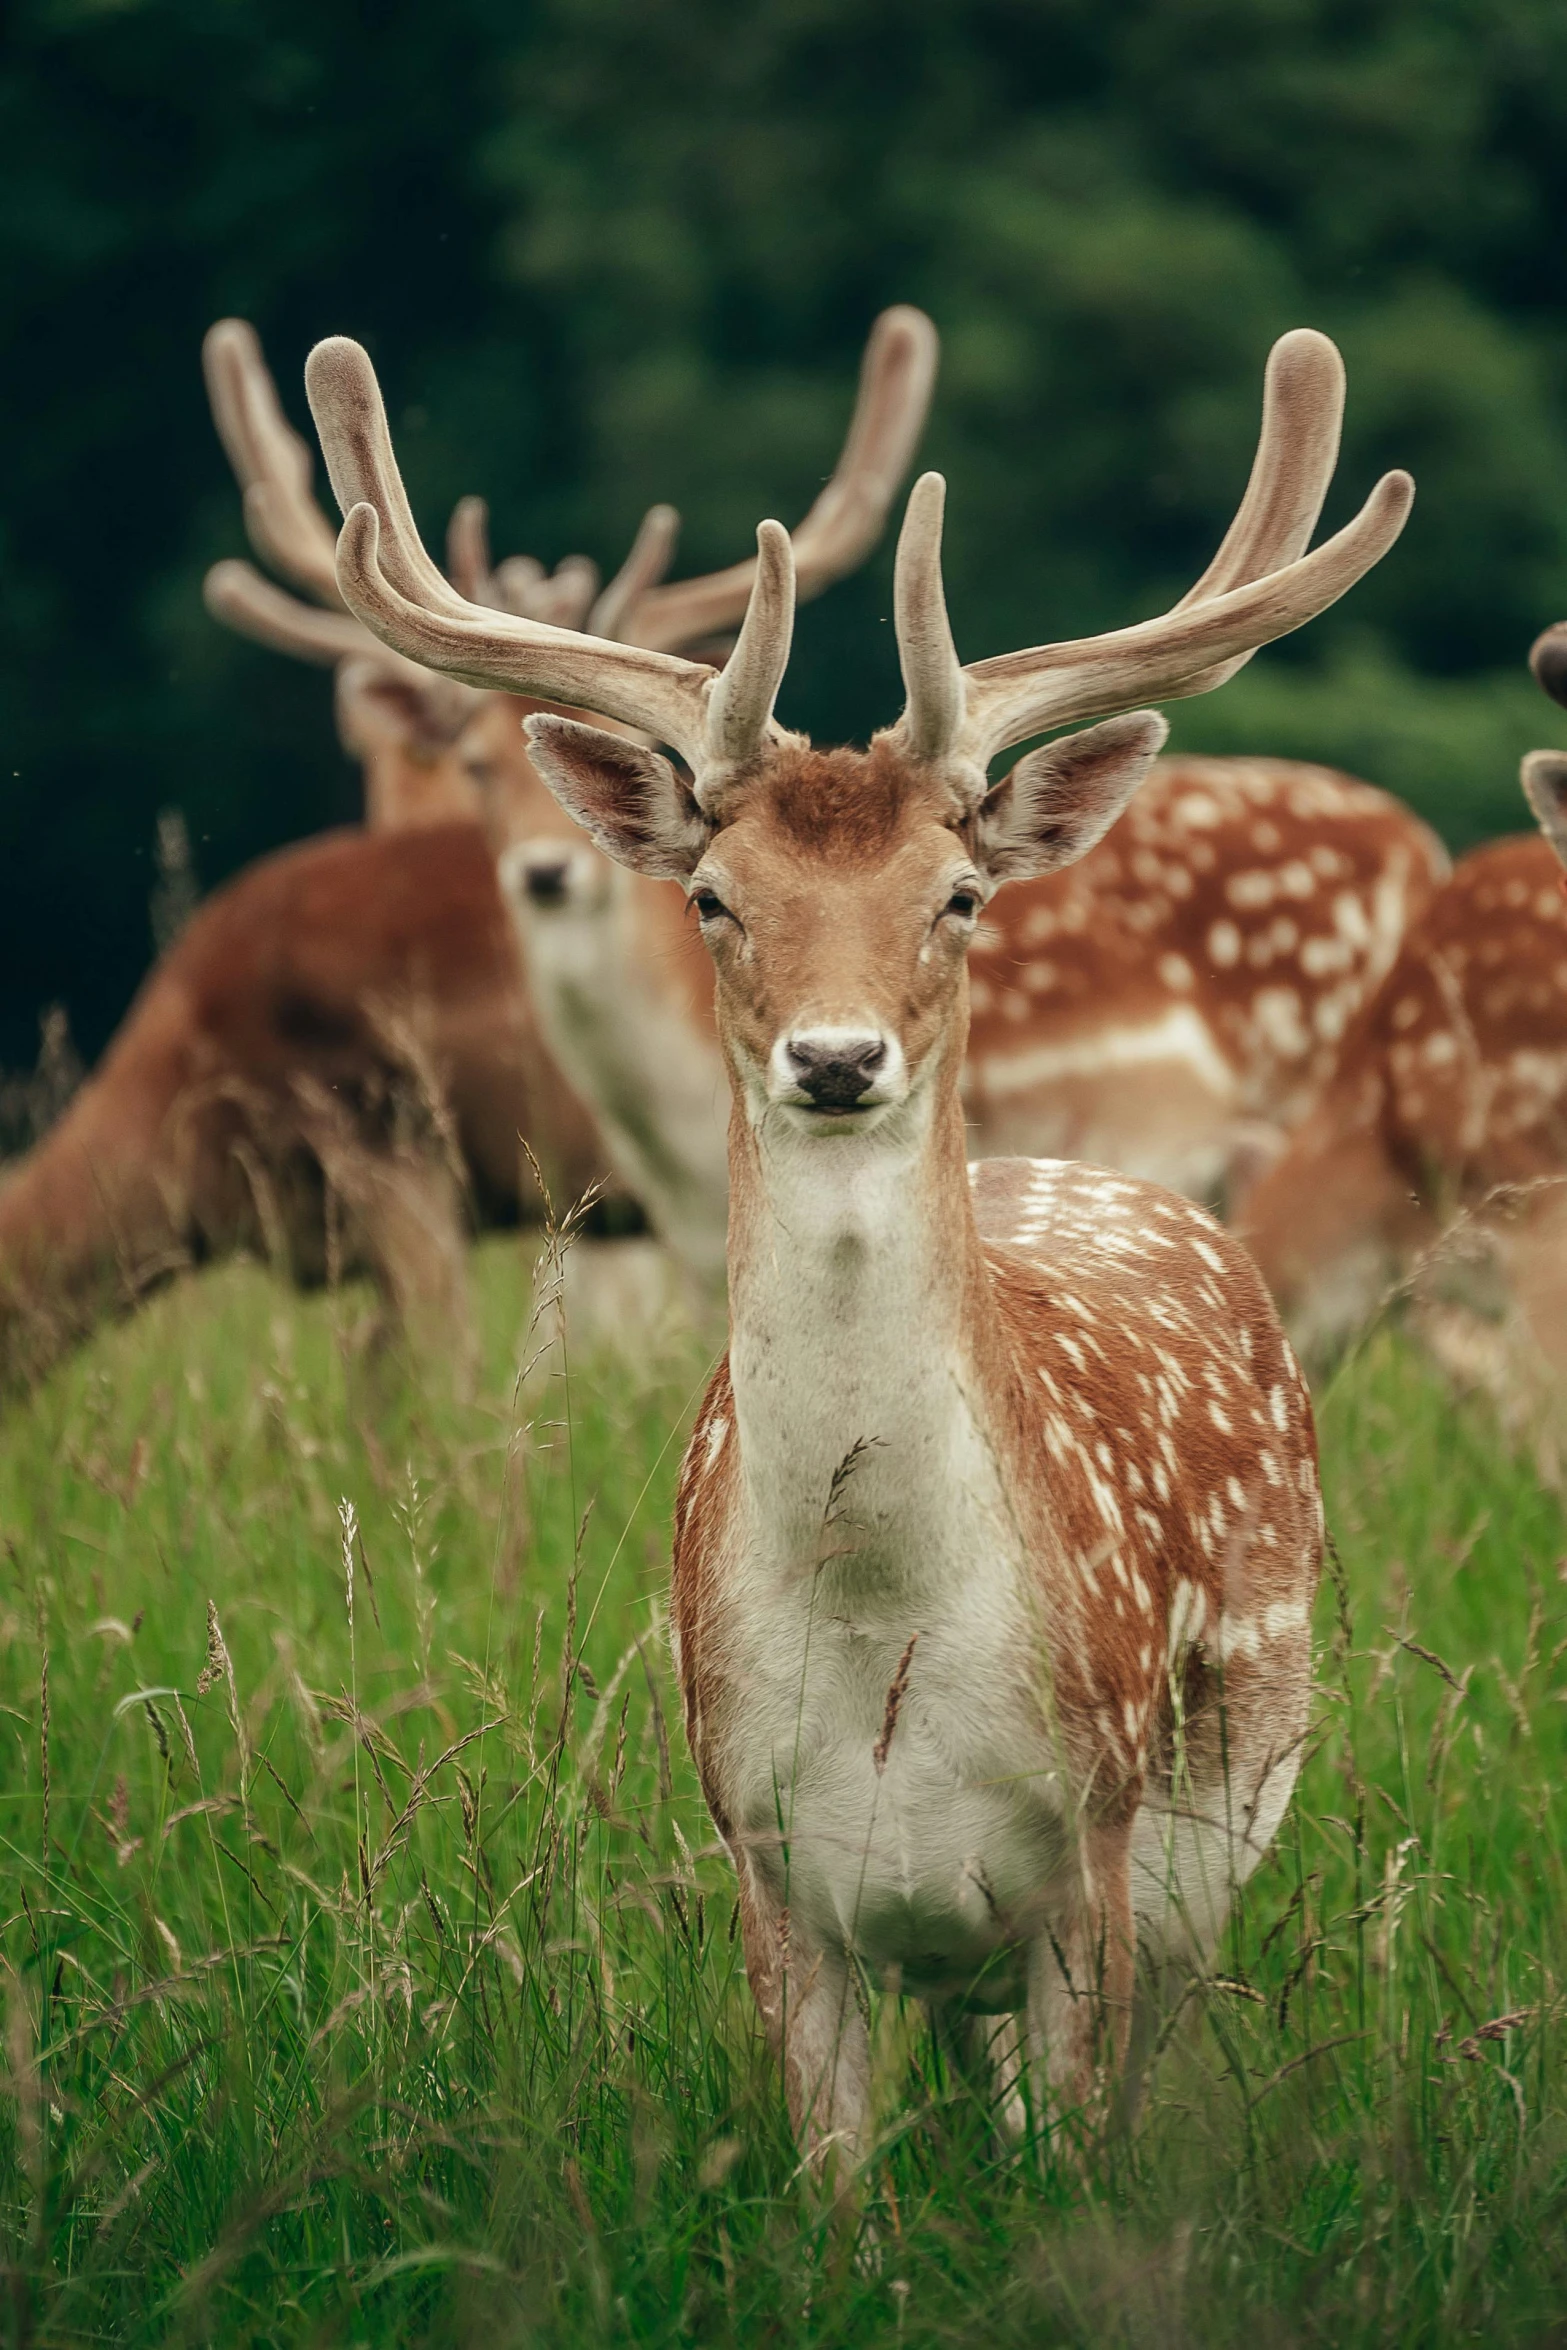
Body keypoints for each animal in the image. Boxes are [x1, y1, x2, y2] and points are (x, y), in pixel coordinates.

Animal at [312, 321, 1418, 2152]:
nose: (834, 1058)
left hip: (1228, 1799)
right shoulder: (767, 1866)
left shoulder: (1089, 1864)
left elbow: (1077, 2158)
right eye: (713, 896)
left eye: (955, 895)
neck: (878, 1646)